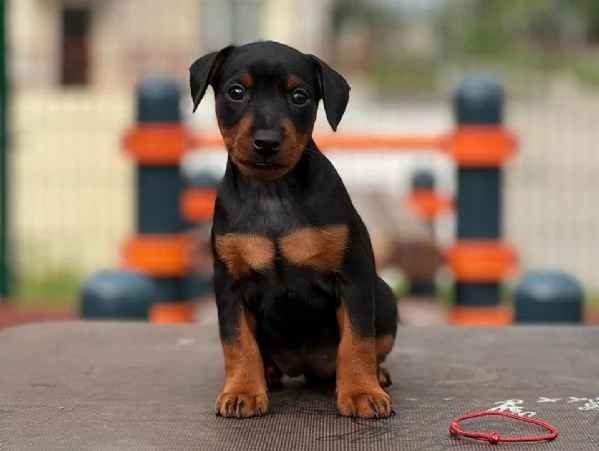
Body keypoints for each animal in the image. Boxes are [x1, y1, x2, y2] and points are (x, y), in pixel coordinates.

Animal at [190, 40, 398, 418]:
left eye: (299, 96)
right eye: (236, 91)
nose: (266, 142)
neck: (272, 194)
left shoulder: (354, 279)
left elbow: (358, 339)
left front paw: (361, 392)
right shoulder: (229, 285)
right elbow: (236, 342)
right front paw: (242, 390)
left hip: (385, 297)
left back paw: (377, 374)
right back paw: (268, 373)